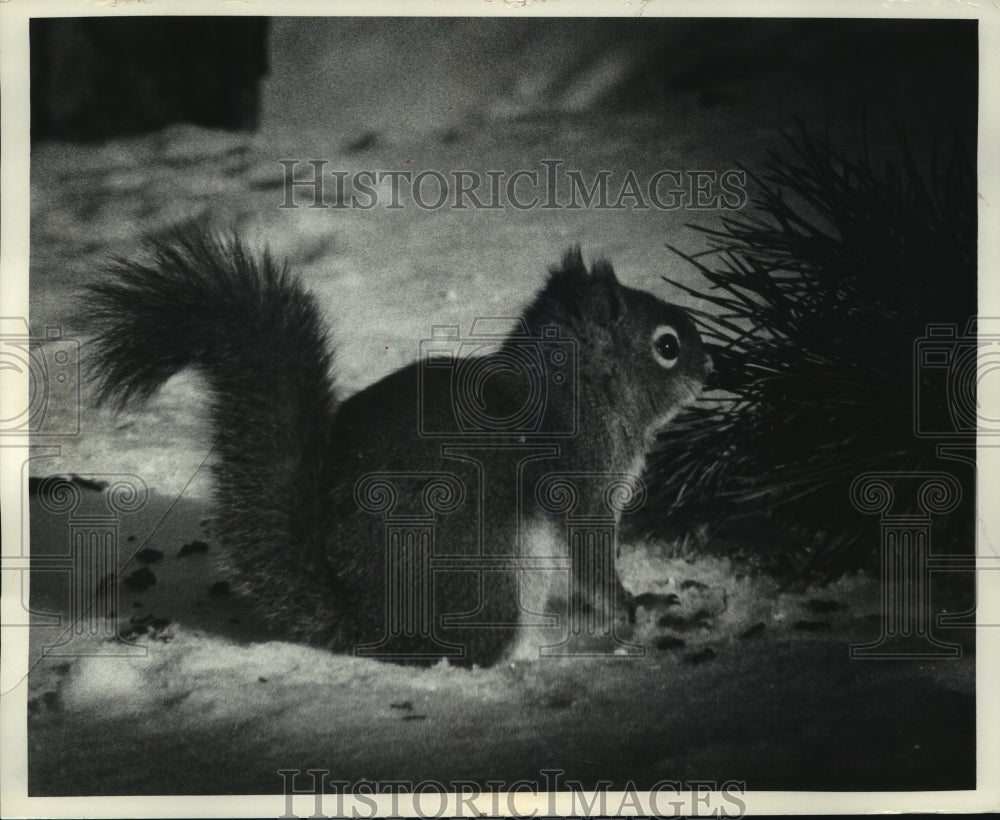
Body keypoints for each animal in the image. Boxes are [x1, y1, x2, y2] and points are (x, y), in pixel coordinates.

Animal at [88, 224, 712, 668]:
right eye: (667, 345)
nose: (712, 368)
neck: (571, 395)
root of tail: (365, 625)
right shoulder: (579, 487)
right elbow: (594, 564)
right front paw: (633, 608)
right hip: (484, 571)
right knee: (471, 656)